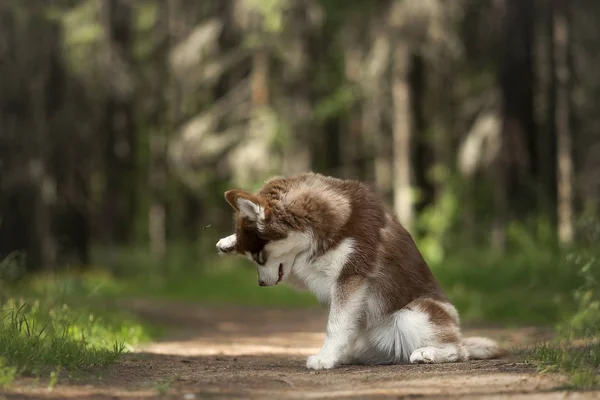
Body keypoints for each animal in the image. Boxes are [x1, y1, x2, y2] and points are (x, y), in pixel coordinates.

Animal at [217, 173, 506, 370]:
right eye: (252, 258)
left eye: (259, 257)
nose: (261, 284)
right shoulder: (306, 269)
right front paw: (228, 242)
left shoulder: (350, 275)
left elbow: (335, 324)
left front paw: (324, 358)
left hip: (414, 315)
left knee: (459, 350)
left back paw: (430, 353)